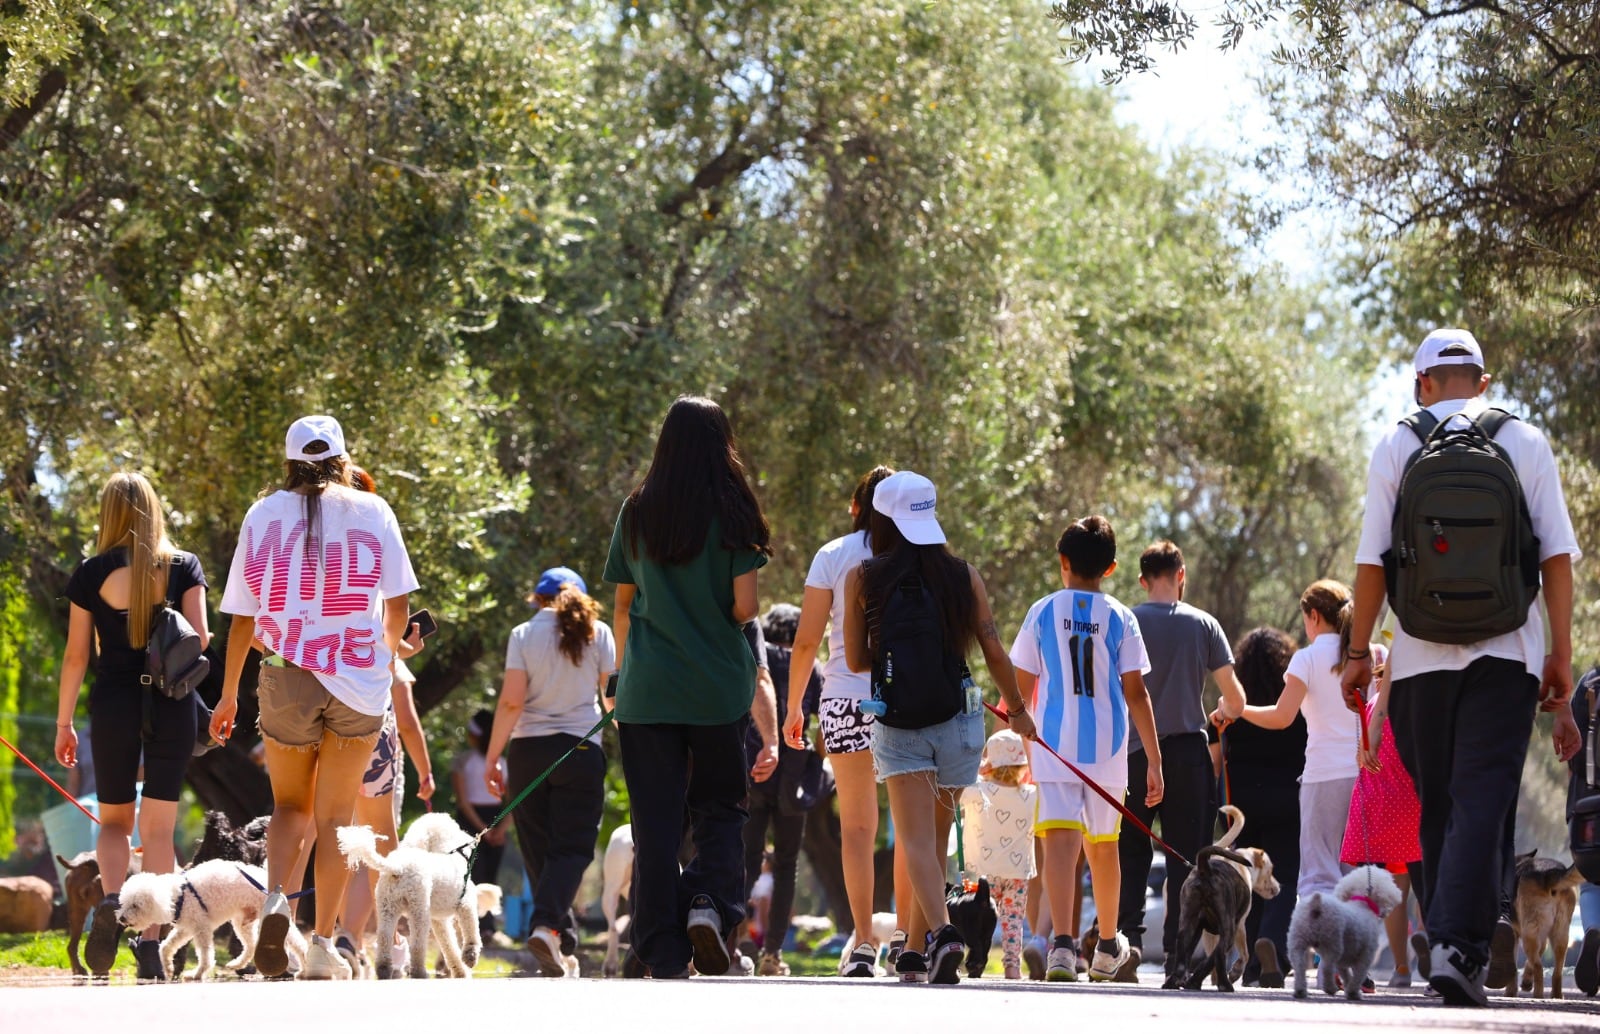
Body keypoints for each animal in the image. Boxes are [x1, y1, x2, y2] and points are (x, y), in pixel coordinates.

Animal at [116, 864, 307, 985]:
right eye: (124, 903)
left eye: (136, 905)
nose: (122, 918)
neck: (178, 896)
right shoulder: (185, 929)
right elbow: (165, 947)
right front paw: (169, 969)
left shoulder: (202, 928)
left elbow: (205, 955)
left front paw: (198, 973)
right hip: (242, 921)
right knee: (251, 945)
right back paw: (237, 964)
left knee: (298, 942)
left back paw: (304, 968)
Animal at [340, 819, 502, 985]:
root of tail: (398, 868)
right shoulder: (465, 905)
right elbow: (471, 931)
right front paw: (470, 957)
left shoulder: (439, 921)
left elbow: (449, 946)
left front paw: (460, 973)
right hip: (419, 909)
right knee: (417, 946)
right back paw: (420, 973)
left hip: (387, 907)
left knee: (384, 939)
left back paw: (384, 971)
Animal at [1164, 806, 1273, 992]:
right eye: (1271, 870)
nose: (1278, 888)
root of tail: (1205, 869)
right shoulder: (1239, 926)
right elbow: (1241, 954)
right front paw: (1233, 973)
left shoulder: (1198, 930)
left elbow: (1192, 956)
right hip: (1228, 929)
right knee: (1219, 954)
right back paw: (1222, 983)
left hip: (1187, 924)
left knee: (1182, 953)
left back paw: (1174, 981)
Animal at [1286, 864, 1401, 1005]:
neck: (1362, 904)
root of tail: (1316, 905)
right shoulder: (1365, 955)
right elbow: (1358, 974)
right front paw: (1353, 992)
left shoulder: (1345, 957)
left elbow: (1345, 973)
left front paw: (1348, 987)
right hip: (1332, 941)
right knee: (1327, 967)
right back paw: (1330, 988)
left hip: (1298, 939)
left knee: (1299, 965)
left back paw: (1300, 990)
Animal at [1504, 851, 1580, 1005]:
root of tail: (1549, 874)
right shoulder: (1542, 939)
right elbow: (1535, 956)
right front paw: (1526, 982)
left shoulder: (1515, 934)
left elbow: (1514, 966)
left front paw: (1510, 992)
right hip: (1560, 935)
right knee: (1557, 971)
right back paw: (1556, 995)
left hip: (1529, 935)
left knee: (1539, 967)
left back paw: (1538, 995)